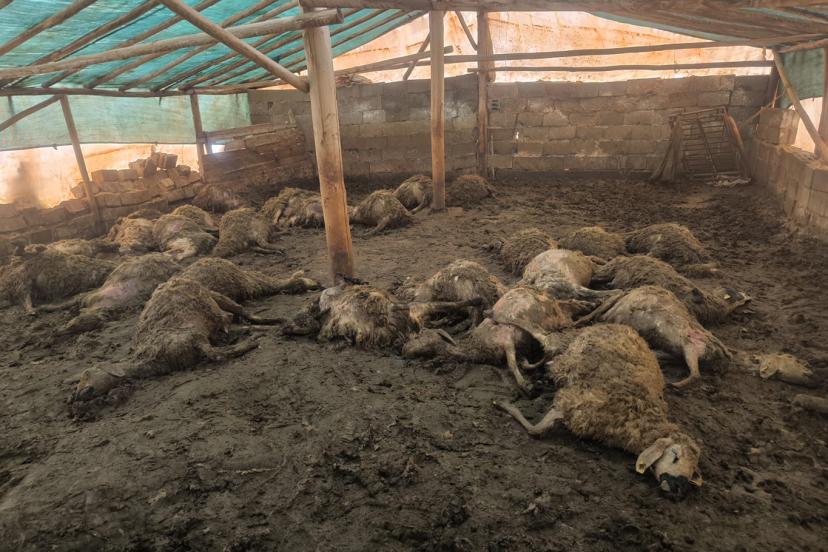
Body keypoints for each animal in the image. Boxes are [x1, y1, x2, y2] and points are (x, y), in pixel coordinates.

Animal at [495, 324, 703, 498]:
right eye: (675, 456)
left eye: (693, 469)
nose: (678, 490)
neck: (640, 415)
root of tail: (618, 325)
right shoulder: (573, 403)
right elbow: (535, 429)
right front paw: (504, 404)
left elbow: (536, 428)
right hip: (565, 345)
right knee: (543, 337)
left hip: (565, 351)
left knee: (548, 355)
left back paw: (530, 367)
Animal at [591, 285, 731, 388]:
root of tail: (723, 354)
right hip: (685, 349)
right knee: (689, 368)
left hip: (690, 346)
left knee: (695, 375)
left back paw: (672, 384)